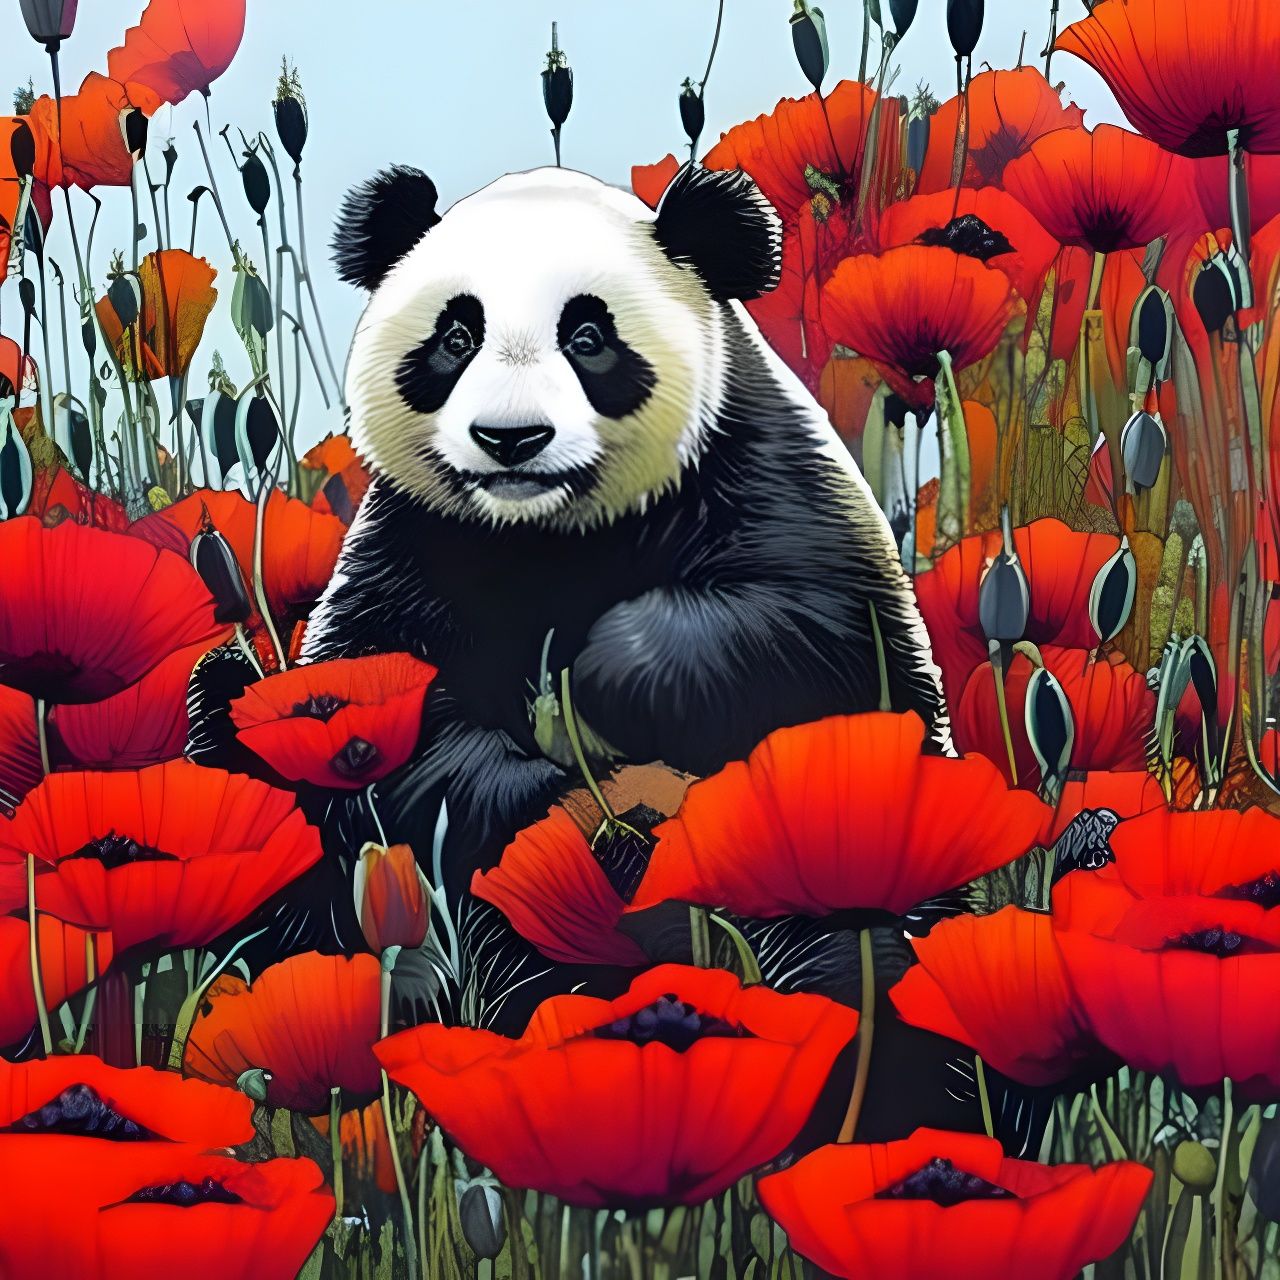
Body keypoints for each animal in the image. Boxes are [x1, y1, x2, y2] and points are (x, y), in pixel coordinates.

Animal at [305, 161, 947, 871]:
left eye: (588, 338)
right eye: (457, 338)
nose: (511, 437)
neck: (547, 528)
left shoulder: (761, 477)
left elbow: (819, 634)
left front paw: (590, 678)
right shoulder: (416, 534)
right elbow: (371, 700)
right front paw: (536, 789)